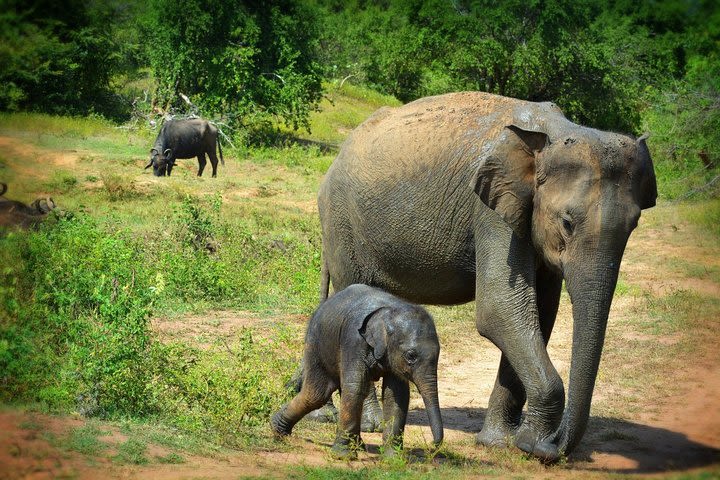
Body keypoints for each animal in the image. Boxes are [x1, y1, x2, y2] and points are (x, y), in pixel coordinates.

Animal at [270, 284, 442, 460]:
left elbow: (396, 395)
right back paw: (278, 430)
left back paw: (358, 446)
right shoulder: (353, 340)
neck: (389, 314)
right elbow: (355, 387)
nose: (431, 446)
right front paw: (342, 456)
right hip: (317, 345)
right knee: (317, 394)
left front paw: (393, 458)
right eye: (411, 356)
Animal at [318, 91, 656, 462]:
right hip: (342, 225)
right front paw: (528, 443)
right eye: (567, 223)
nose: (553, 445)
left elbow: (539, 314)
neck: (553, 133)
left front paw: (501, 442)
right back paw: (371, 424)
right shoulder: (490, 211)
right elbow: (500, 309)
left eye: (634, 225)